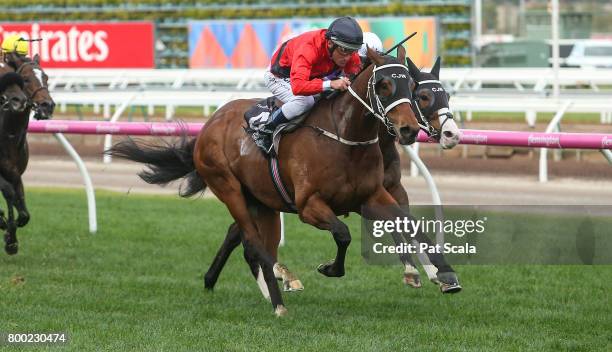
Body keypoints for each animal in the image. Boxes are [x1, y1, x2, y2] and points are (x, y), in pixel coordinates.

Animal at [110, 47, 456, 316]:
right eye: (385, 84)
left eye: (411, 86)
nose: (410, 129)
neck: (345, 137)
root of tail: (210, 123)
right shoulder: (309, 205)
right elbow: (343, 234)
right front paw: (330, 268)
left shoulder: (373, 196)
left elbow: (409, 224)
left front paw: (445, 275)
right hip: (229, 188)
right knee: (253, 242)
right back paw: (278, 298)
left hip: (263, 201)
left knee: (253, 242)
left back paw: (251, 281)